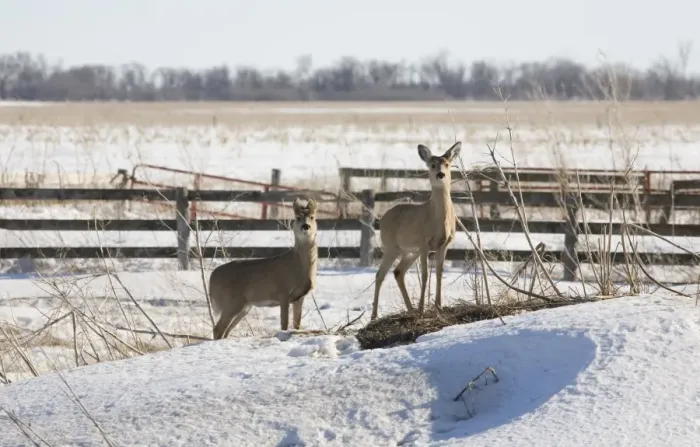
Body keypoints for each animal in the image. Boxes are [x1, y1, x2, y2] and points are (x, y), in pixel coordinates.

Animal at [209, 197, 319, 340]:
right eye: (297, 217)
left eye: (312, 217)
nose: (306, 226)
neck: (299, 266)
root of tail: (212, 278)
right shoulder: (283, 292)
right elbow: (284, 323)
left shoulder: (299, 297)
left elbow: (297, 324)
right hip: (231, 301)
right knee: (218, 328)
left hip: (245, 306)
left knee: (226, 330)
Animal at [371, 141, 462, 321]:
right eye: (432, 164)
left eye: (447, 164)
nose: (440, 174)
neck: (438, 220)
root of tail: (382, 218)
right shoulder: (424, 243)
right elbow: (426, 274)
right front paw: (422, 308)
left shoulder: (445, 244)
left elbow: (439, 273)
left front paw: (439, 306)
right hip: (391, 246)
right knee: (380, 275)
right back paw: (375, 315)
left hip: (409, 251)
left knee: (398, 272)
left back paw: (410, 309)